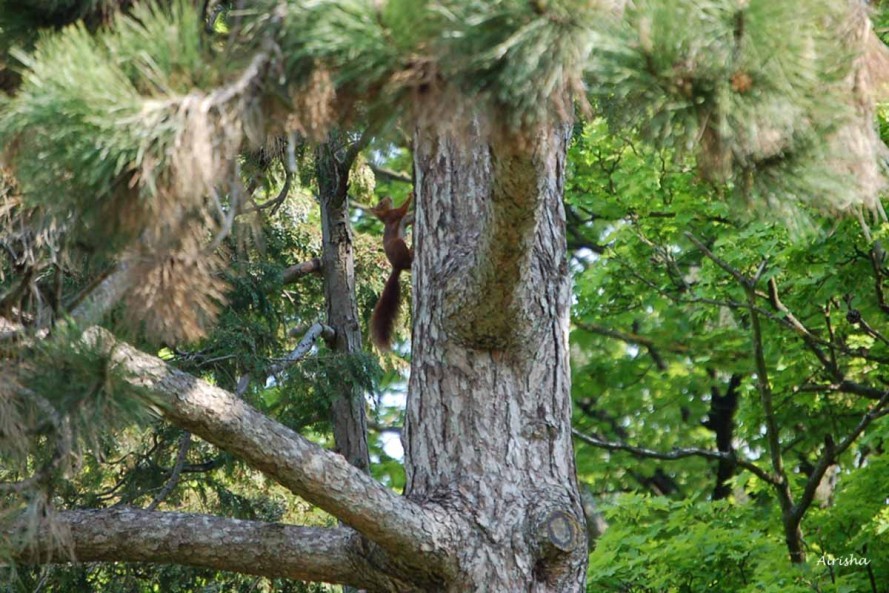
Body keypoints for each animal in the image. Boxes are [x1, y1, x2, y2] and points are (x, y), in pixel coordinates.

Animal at [368, 194, 412, 350]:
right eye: (381, 203)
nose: (388, 197)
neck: (385, 216)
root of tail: (396, 267)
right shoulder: (394, 215)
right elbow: (402, 210)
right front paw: (411, 194)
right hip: (398, 244)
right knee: (407, 261)